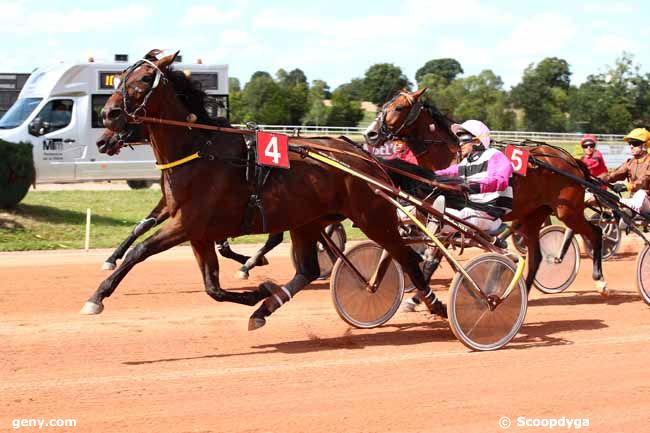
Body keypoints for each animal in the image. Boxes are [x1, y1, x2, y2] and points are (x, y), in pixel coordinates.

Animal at [81, 50, 446, 328]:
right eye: (121, 77)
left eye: (144, 79)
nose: (108, 116)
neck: (199, 150)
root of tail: (363, 155)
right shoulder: (196, 231)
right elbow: (212, 286)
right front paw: (259, 292)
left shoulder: (186, 224)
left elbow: (140, 250)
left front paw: (97, 296)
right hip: (307, 221)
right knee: (309, 270)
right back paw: (266, 307)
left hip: (374, 217)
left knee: (406, 256)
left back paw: (434, 303)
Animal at [362, 87, 604, 290]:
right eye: (384, 105)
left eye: (399, 108)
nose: (370, 134)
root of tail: (571, 161)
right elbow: (395, 246)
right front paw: (375, 282)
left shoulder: (449, 219)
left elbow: (433, 255)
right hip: (533, 215)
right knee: (535, 256)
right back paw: (520, 290)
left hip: (567, 210)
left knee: (595, 232)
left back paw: (600, 280)